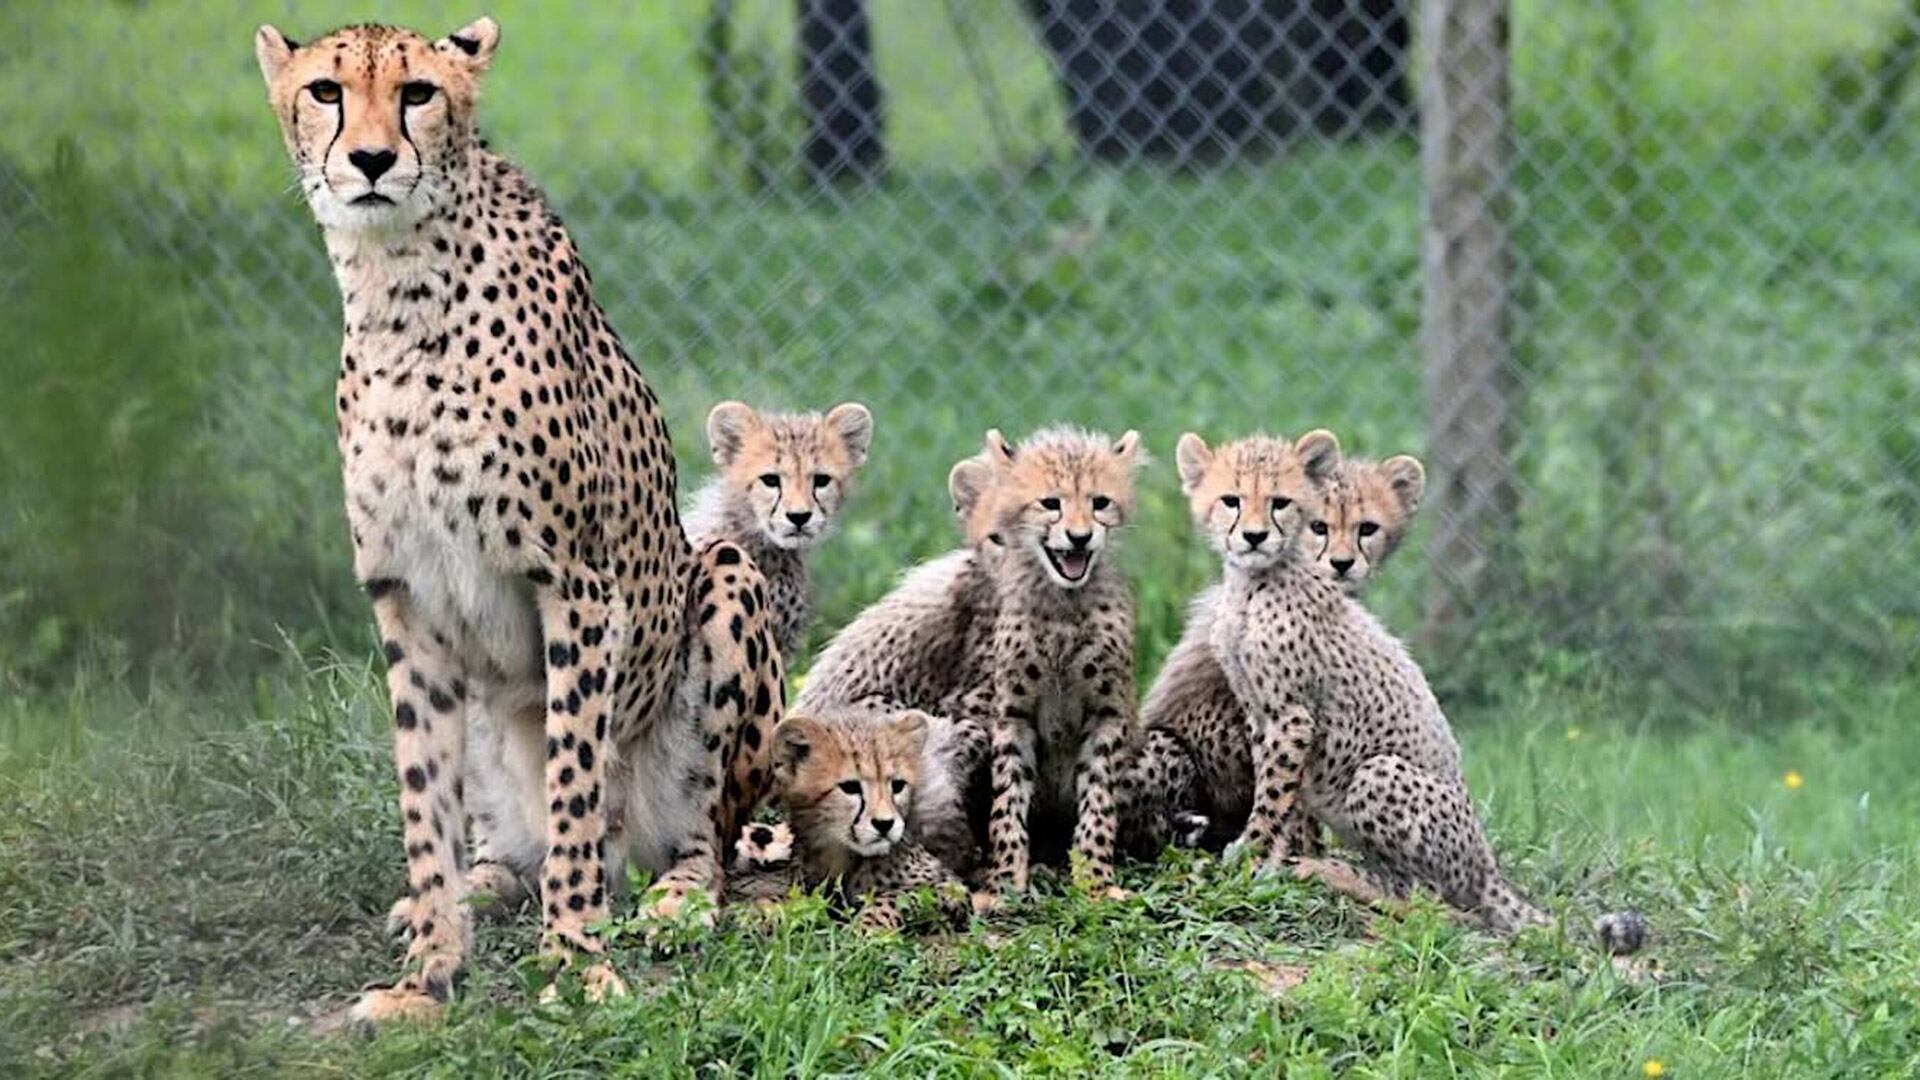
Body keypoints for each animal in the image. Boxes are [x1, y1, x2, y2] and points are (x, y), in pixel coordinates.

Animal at [256, 18, 782, 1021]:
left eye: (419, 92)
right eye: (326, 91)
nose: (372, 159)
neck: (398, 285)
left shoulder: (575, 586)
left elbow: (575, 782)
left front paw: (575, 961)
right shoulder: (406, 599)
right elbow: (422, 801)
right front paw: (428, 974)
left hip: (727, 585)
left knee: (702, 837)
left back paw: (672, 899)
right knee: (502, 846)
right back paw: (480, 886)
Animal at [726, 708, 972, 930]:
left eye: (898, 785)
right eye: (850, 787)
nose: (885, 824)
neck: (844, 856)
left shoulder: (952, 888)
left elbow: (895, 896)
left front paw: (869, 926)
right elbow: (796, 897)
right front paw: (762, 910)